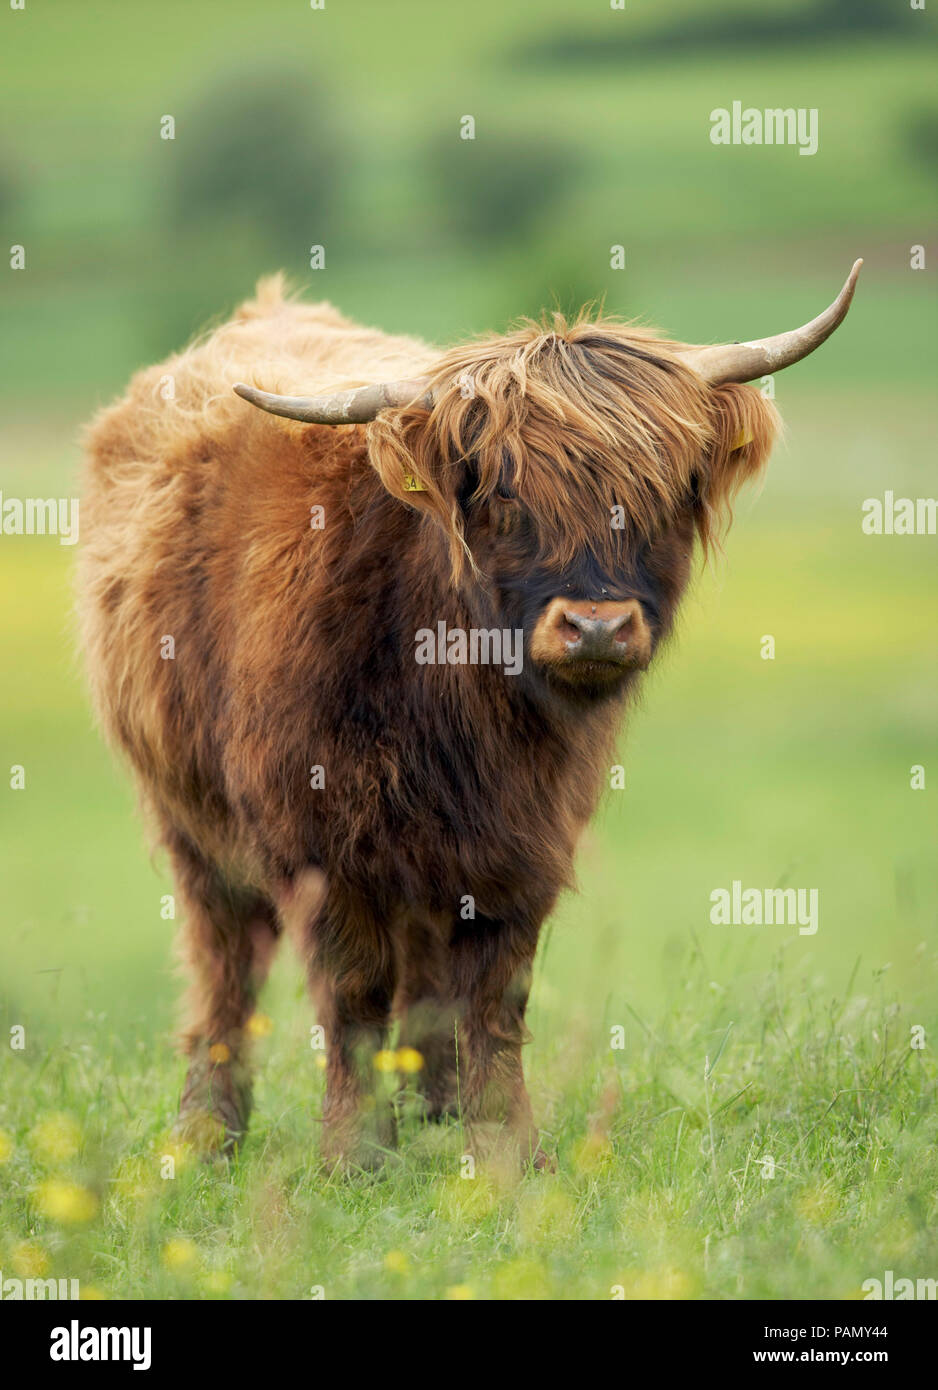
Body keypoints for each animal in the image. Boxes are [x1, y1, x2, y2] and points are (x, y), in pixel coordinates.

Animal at [77, 262, 861, 1173]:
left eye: (663, 490)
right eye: (501, 492)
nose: (597, 626)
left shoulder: (525, 840)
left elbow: (492, 996)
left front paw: (503, 1152)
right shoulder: (318, 842)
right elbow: (352, 993)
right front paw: (353, 1156)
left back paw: (432, 1109)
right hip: (190, 820)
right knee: (224, 960)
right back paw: (207, 1131)